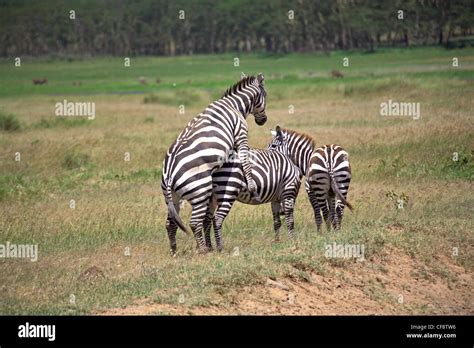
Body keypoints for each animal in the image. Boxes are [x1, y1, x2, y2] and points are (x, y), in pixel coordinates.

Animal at [162, 74, 266, 256]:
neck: (234, 105)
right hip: (200, 190)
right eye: (266, 96)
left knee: (170, 223)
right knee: (194, 222)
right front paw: (252, 186)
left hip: (173, 198)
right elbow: (245, 160)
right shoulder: (241, 134)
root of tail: (168, 174)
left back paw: (174, 251)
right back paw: (203, 249)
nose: (264, 120)